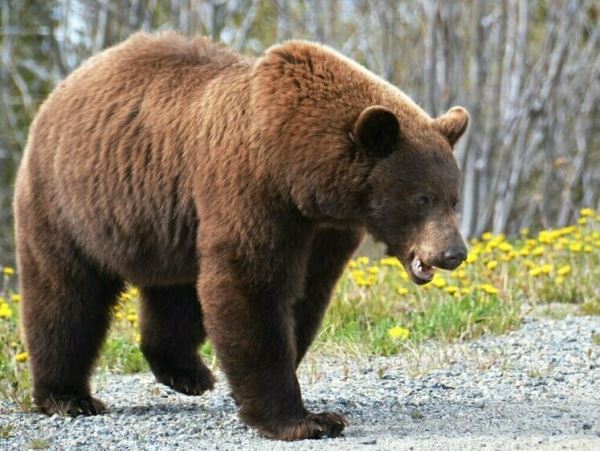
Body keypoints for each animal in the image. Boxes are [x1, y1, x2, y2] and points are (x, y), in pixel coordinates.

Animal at [11, 31, 466, 442]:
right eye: (421, 198)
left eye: (453, 199)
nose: (453, 253)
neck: (302, 175)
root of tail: (61, 90)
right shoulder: (252, 190)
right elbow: (252, 287)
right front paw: (307, 420)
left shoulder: (326, 230)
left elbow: (304, 296)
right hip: (68, 203)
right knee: (67, 294)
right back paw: (69, 397)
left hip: (168, 222)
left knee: (176, 292)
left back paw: (187, 373)